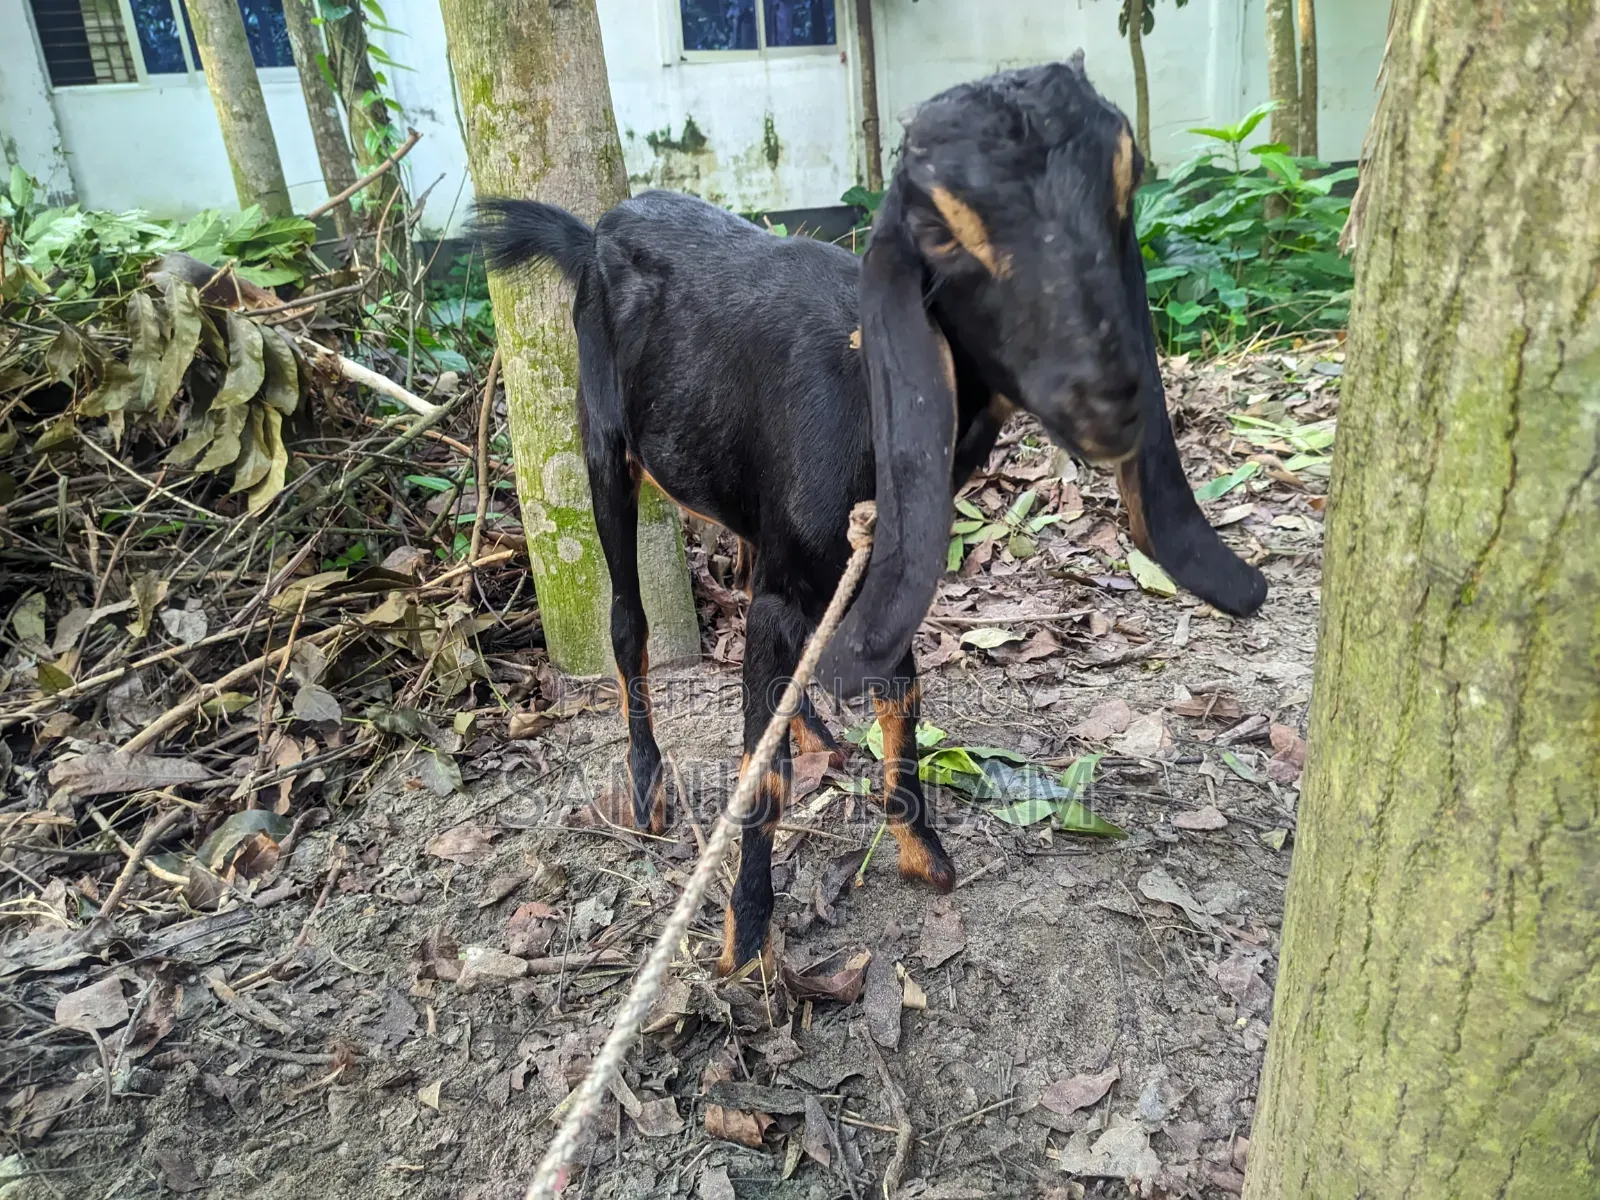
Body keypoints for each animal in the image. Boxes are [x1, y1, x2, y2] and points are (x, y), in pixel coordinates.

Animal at [473, 59, 1267, 975]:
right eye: (941, 230)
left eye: (1123, 191)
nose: (1108, 399)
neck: (863, 390)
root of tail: (594, 231)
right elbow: (764, 769)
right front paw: (746, 934)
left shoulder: (884, 557)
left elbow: (901, 691)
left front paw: (921, 851)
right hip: (603, 447)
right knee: (628, 621)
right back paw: (648, 788)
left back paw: (811, 724)